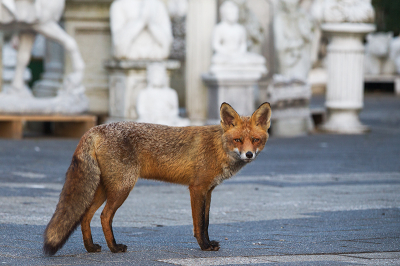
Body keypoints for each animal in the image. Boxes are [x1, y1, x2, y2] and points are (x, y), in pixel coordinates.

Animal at [43, 102, 272, 256]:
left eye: (255, 140)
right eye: (238, 140)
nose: (248, 154)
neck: (218, 147)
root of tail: (95, 129)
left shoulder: (208, 190)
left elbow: (206, 221)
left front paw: (207, 244)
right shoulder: (196, 188)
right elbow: (199, 223)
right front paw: (204, 246)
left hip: (104, 189)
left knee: (85, 216)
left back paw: (91, 247)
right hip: (122, 188)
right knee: (104, 216)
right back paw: (114, 247)